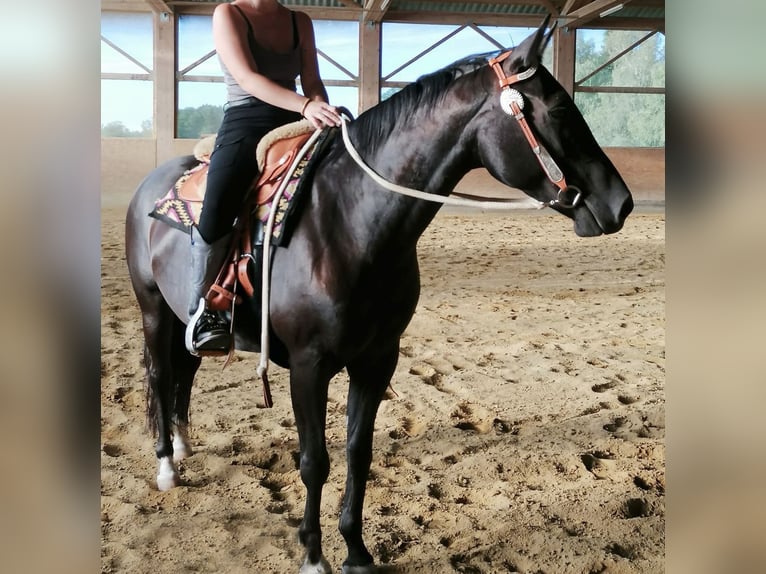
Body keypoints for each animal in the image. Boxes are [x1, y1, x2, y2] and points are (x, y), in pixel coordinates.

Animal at [125, 18, 632, 574]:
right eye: (559, 109)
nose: (622, 203)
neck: (350, 220)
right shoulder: (308, 365)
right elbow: (314, 462)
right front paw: (313, 554)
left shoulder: (376, 360)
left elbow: (358, 454)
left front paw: (356, 551)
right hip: (153, 310)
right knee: (161, 374)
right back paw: (167, 465)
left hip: (184, 319)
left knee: (187, 372)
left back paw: (183, 444)